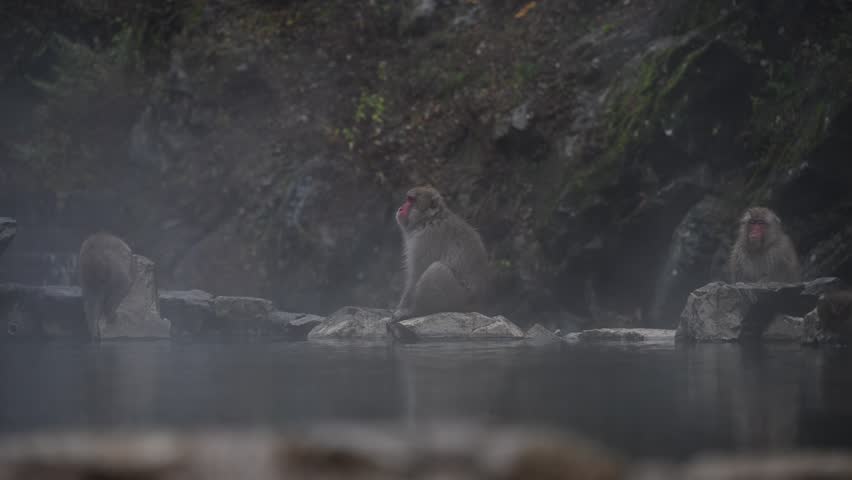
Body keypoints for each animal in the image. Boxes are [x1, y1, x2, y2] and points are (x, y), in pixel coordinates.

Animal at [391, 186, 491, 322]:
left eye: (411, 200)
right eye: (407, 199)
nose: (401, 208)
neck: (429, 219)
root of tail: (477, 305)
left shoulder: (427, 237)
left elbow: (417, 273)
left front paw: (403, 309)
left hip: (457, 298)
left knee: (436, 269)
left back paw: (416, 311)